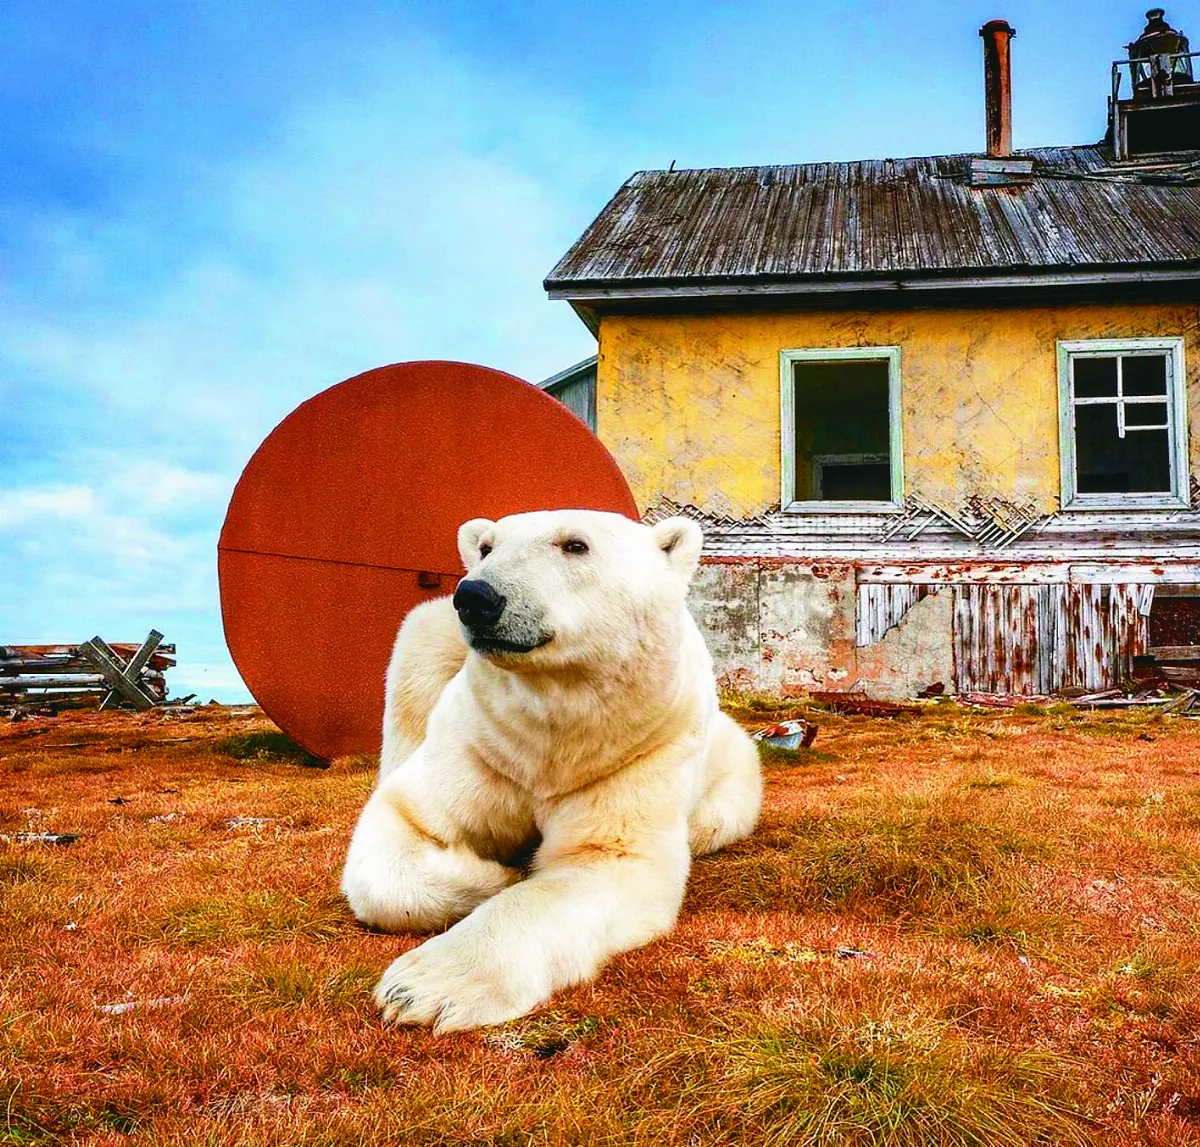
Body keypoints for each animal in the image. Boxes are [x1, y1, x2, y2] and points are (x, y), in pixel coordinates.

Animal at [340, 509, 763, 1032]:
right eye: (486, 547)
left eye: (575, 544)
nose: (476, 597)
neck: (551, 739)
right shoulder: (482, 744)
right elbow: (406, 824)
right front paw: (494, 876)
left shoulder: (637, 752)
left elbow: (602, 858)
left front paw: (424, 986)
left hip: (731, 768)